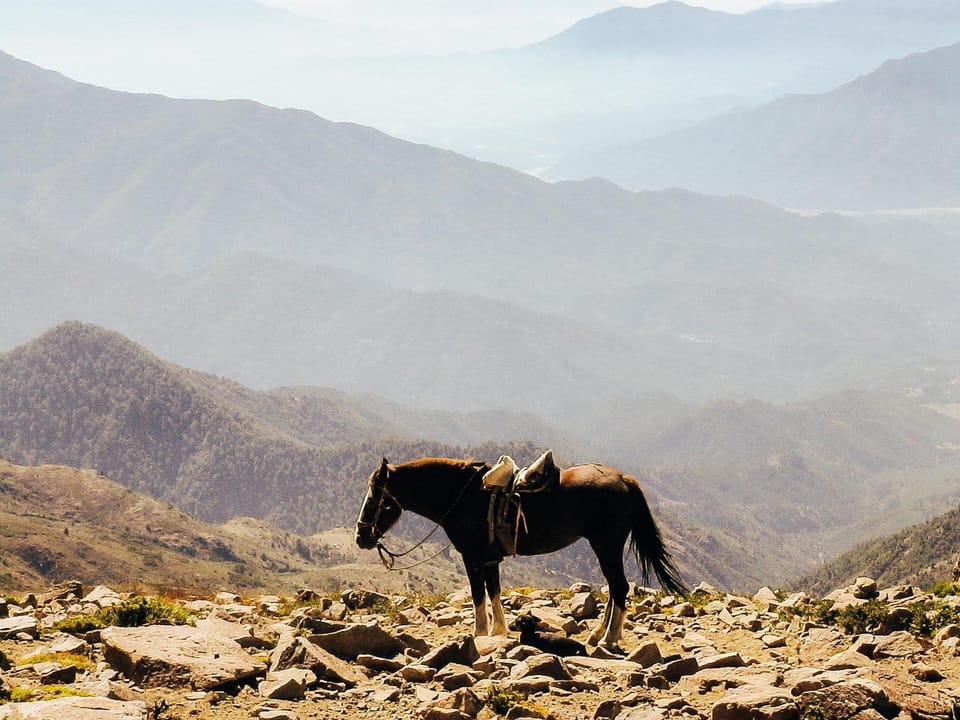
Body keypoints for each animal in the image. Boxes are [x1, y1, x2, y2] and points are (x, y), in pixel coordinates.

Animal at [355, 453, 686, 648]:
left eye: (375, 498)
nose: (361, 537)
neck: (462, 497)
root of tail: (625, 480)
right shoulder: (489, 558)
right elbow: (493, 591)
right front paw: (499, 630)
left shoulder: (472, 556)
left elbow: (478, 594)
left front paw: (479, 633)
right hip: (605, 547)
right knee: (614, 587)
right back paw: (598, 634)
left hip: (606, 545)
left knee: (618, 587)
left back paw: (608, 639)